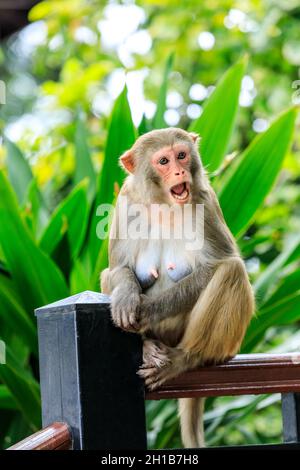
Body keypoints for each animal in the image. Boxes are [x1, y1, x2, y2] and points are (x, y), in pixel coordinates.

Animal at [99, 127, 254, 448]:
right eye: (164, 161)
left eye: (181, 155)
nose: (180, 171)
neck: (164, 204)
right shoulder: (125, 202)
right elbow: (119, 268)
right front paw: (127, 300)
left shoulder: (205, 201)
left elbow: (218, 263)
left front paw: (146, 311)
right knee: (108, 275)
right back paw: (146, 346)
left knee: (231, 271)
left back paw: (187, 357)